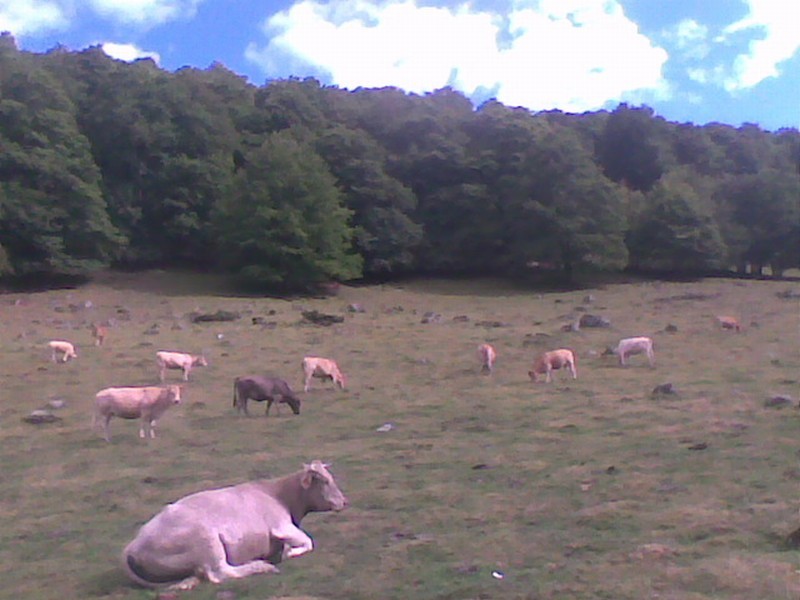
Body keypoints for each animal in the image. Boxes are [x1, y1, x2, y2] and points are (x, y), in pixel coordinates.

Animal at [123, 462, 348, 588]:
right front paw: (289, 553)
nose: (345, 502)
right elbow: (308, 542)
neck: (279, 495)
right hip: (206, 540)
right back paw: (261, 566)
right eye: (325, 482)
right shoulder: (281, 525)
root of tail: (132, 546)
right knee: (221, 572)